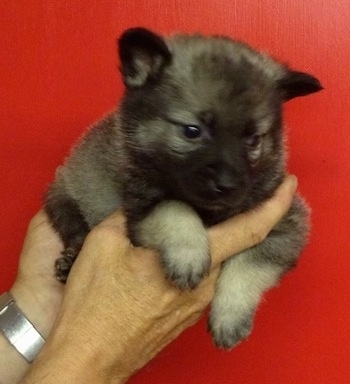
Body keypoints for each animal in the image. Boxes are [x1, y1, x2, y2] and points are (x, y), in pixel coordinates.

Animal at [44, 28, 322, 350]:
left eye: (254, 140)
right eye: (191, 131)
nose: (227, 184)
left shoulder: (285, 225)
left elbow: (249, 265)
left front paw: (230, 317)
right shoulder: (141, 212)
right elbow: (175, 208)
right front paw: (188, 254)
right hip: (65, 198)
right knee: (76, 230)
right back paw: (70, 261)